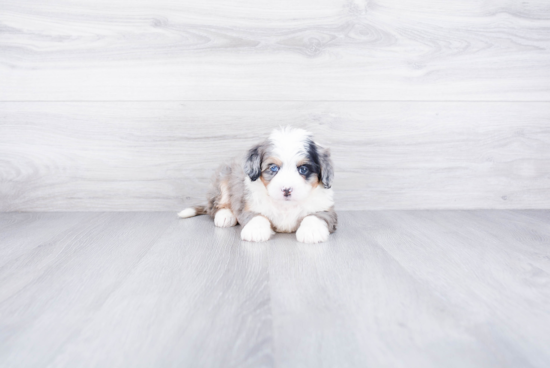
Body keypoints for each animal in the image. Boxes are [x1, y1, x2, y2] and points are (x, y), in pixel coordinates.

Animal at [179, 125, 338, 243]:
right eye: (273, 168)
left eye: (303, 169)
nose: (286, 190)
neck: (285, 205)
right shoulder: (248, 205)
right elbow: (258, 216)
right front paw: (255, 230)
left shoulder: (326, 209)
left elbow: (315, 216)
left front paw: (312, 231)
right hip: (223, 178)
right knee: (217, 206)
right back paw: (225, 216)